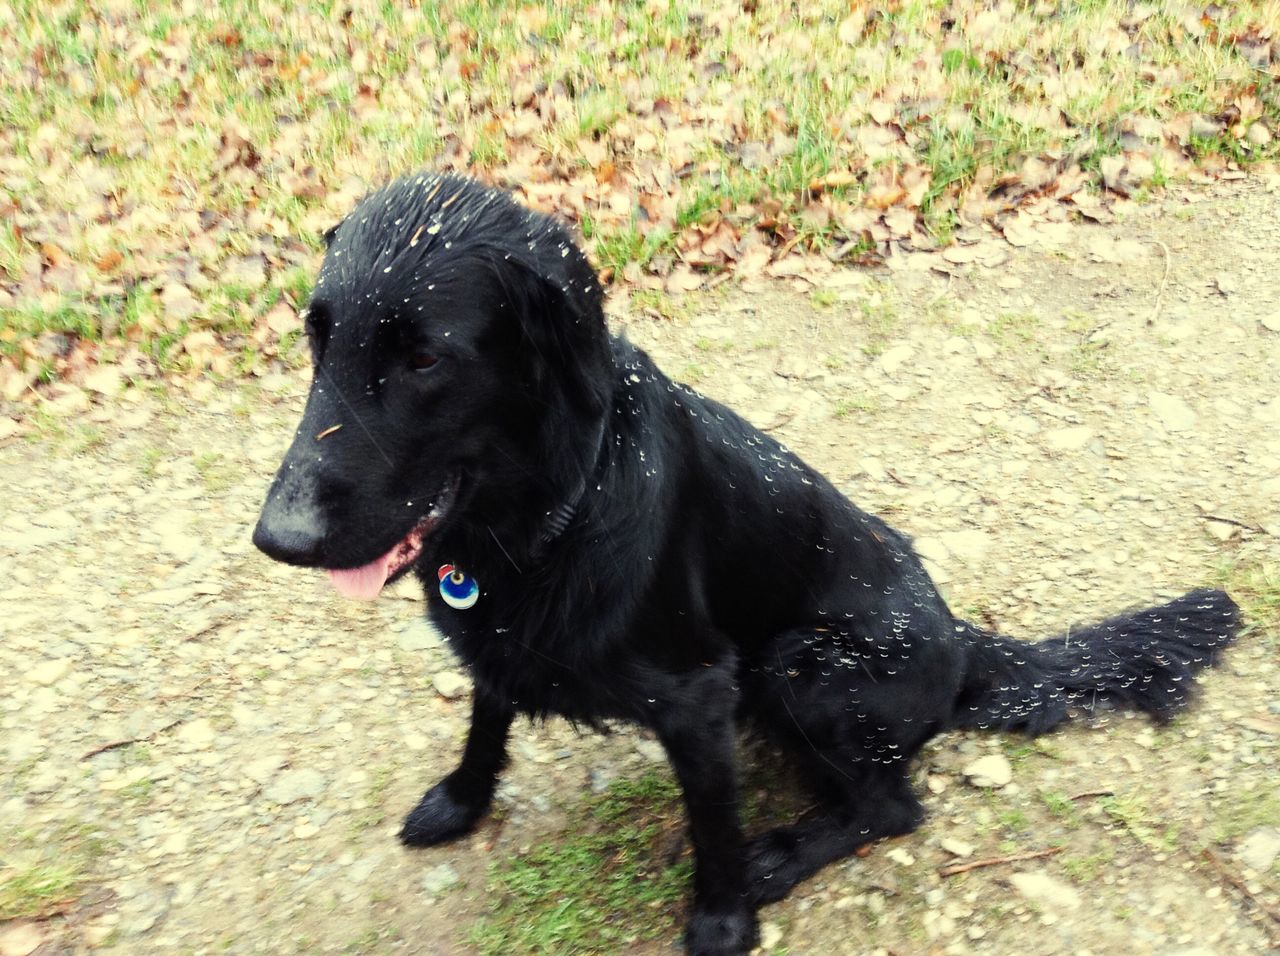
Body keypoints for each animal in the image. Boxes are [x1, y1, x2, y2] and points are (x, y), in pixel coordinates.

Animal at [254, 174, 1244, 956]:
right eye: (316, 340)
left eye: (426, 356)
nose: (277, 537)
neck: (552, 509)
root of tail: (965, 641)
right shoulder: (496, 630)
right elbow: (485, 718)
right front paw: (462, 801)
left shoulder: (699, 695)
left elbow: (713, 827)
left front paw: (724, 922)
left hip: (802, 664)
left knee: (890, 808)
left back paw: (785, 854)